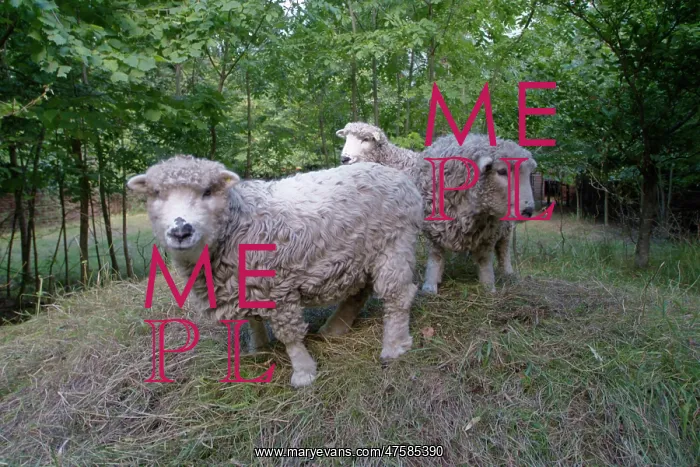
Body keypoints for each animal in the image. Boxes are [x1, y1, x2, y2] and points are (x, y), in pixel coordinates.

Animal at [127, 156, 423, 388]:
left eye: (208, 192)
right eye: (156, 194)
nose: (181, 231)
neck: (237, 224)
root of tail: (400, 177)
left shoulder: (278, 288)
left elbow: (290, 336)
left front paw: (304, 373)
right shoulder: (243, 285)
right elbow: (252, 320)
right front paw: (257, 348)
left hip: (394, 243)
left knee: (398, 295)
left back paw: (394, 345)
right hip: (360, 254)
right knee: (359, 292)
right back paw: (336, 328)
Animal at [336, 122, 536, 293]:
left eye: (366, 139)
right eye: (346, 138)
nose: (344, 158)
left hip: (504, 225)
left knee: (503, 247)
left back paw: (507, 272)